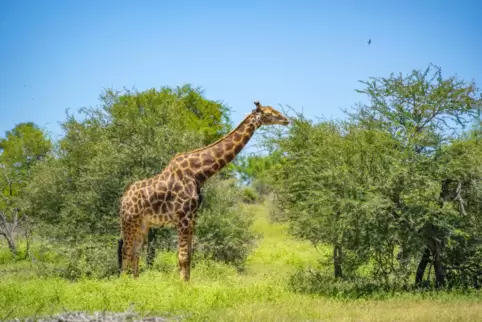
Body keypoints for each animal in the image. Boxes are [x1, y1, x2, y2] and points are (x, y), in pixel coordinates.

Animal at [117, 102, 290, 280]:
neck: (199, 173)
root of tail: (123, 199)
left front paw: (187, 283)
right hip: (129, 220)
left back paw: (136, 281)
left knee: (136, 252)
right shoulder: (183, 217)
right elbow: (182, 257)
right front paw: (181, 285)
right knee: (126, 251)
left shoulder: (193, 217)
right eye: (269, 113)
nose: (286, 120)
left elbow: (189, 256)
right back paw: (124, 283)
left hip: (143, 223)